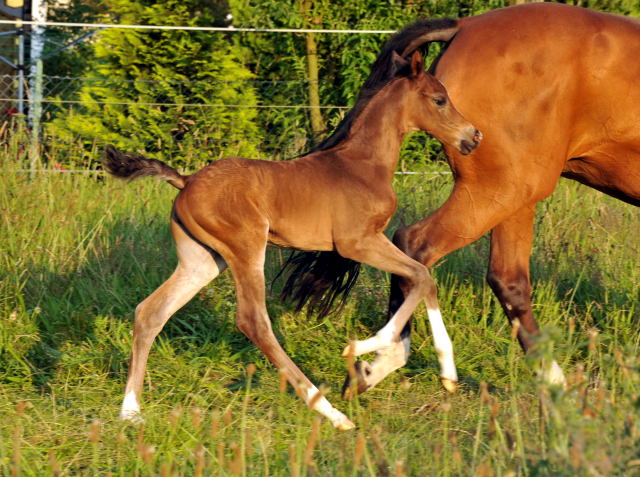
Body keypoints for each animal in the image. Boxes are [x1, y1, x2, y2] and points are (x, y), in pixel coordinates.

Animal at [104, 51, 480, 428]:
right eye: (440, 100)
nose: (473, 136)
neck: (363, 164)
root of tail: (185, 181)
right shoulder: (357, 242)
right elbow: (421, 275)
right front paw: (365, 349)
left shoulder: (371, 240)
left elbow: (423, 278)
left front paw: (445, 374)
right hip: (246, 248)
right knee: (253, 321)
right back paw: (330, 411)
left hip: (203, 261)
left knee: (151, 312)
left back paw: (130, 410)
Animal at [286, 2, 640, 398]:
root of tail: (465, 26)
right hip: (497, 192)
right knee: (414, 246)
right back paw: (383, 362)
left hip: (515, 196)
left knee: (507, 279)